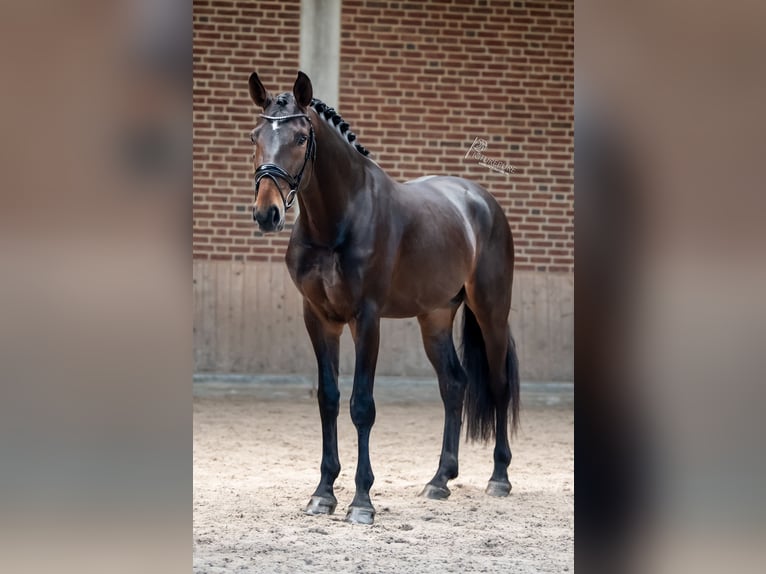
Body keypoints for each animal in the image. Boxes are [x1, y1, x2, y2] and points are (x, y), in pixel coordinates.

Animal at [249, 71, 520, 528]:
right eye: (255, 136)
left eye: (301, 138)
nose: (266, 214)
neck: (337, 221)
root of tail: (482, 201)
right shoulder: (319, 318)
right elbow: (328, 399)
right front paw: (323, 493)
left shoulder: (367, 319)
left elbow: (362, 405)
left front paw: (361, 501)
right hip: (435, 317)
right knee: (454, 384)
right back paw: (439, 481)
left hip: (491, 312)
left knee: (498, 383)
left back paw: (499, 477)